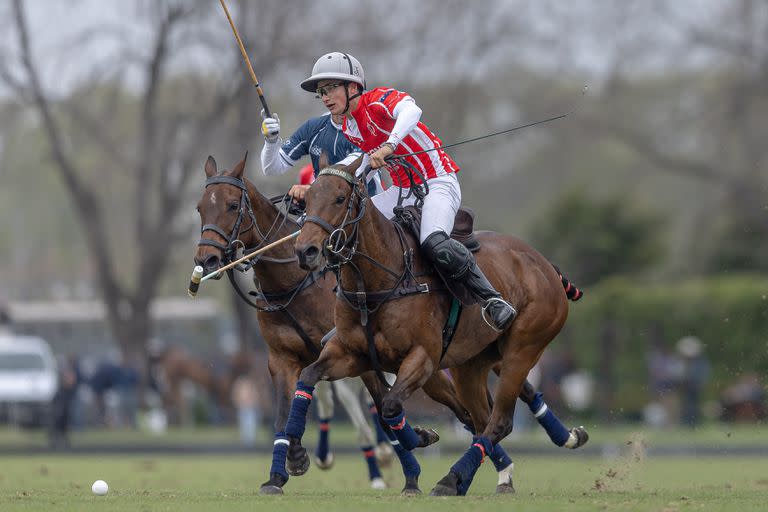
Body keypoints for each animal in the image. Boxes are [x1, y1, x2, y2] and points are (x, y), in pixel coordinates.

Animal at [192, 157, 472, 496]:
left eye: (233, 205)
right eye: (199, 207)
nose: (206, 259)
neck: (294, 283)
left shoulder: (360, 357)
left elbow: (382, 408)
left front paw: (411, 470)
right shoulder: (283, 358)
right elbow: (284, 415)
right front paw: (285, 468)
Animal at [292, 159, 584, 496]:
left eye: (340, 199)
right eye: (307, 200)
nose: (305, 251)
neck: (377, 282)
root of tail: (545, 265)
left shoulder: (422, 357)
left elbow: (390, 405)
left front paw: (420, 439)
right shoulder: (352, 354)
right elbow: (310, 375)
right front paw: (296, 455)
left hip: (523, 348)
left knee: (499, 421)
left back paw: (452, 479)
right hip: (469, 365)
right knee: (479, 418)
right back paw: (472, 478)